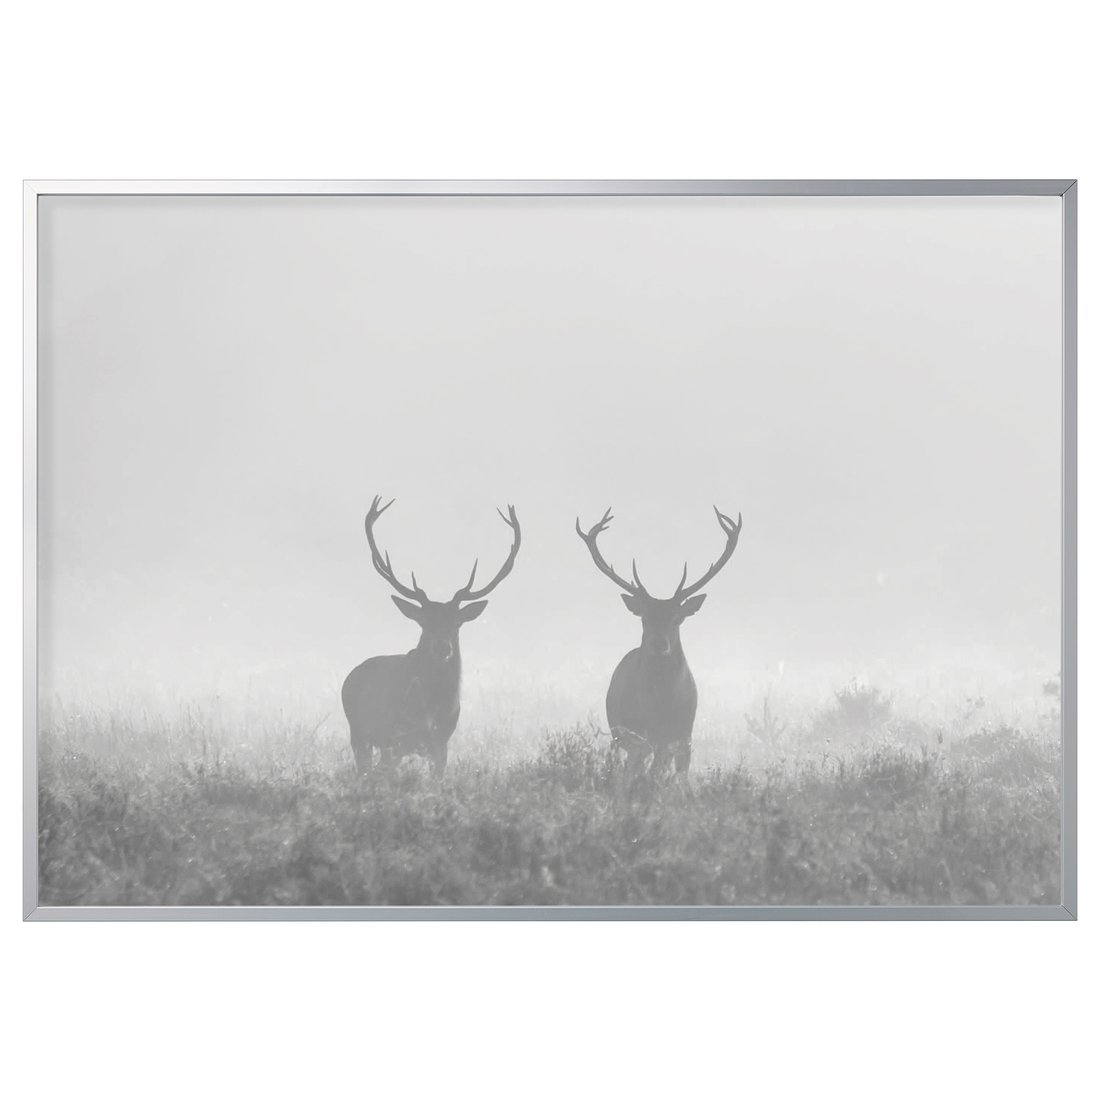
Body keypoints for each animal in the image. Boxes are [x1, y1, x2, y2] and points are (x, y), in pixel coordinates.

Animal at [342, 495, 521, 776]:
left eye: (457, 622)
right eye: (424, 622)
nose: (442, 647)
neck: (431, 708)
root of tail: (351, 675)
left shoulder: (441, 742)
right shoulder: (395, 737)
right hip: (359, 732)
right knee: (366, 768)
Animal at [576, 506, 742, 778]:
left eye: (677, 618)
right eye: (644, 617)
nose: (658, 644)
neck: (661, 704)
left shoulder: (684, 737)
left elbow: (678, 777)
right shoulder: (641, 736)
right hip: (620, 734)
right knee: (624, 765)